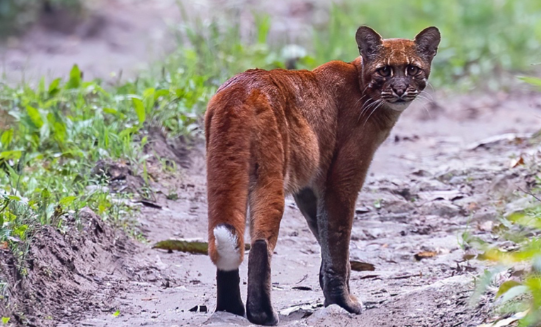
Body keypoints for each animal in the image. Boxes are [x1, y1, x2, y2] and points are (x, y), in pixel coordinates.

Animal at [204, 25, 438, 326]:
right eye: (385, 71)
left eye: (412, 69)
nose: (399, 89)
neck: (361, 85)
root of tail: (239, 87)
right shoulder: (343, 178)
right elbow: (338, 240)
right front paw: (344, 302)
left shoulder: (309, 187)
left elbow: (324, 235)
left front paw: (333, 296)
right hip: (270, 176)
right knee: (259, 243)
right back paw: (262, 314)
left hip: (222, 175)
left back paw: (230, 310)